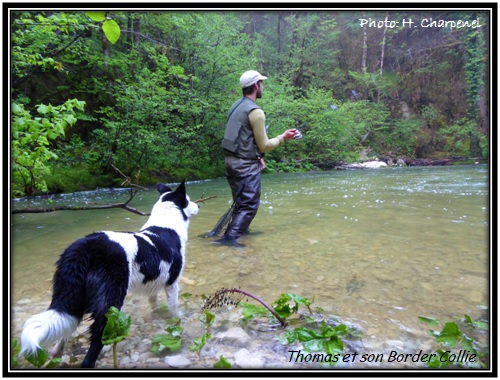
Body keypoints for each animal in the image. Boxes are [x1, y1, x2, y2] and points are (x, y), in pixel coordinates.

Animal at [19, 181, 199, 368]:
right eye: (188, 200)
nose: (198, 206)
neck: (166, 222)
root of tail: (85, 247)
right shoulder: (172, 283)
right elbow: (174, 309)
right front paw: (177, 321)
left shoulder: (154, 283)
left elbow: (154, 304)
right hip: (110, 302)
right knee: (95, 341)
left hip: (74, 296)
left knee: (67, 327)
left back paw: (57, 353)